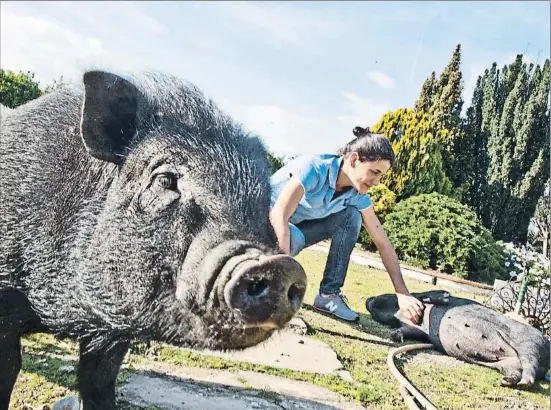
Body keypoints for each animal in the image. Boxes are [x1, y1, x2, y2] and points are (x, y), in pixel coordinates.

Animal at [0, 70, 308, 410]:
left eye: (265, 200)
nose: (278, 265)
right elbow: (10, 367)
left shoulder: (111, 336)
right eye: (165, 180)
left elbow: (99, 380)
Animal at [364, 290, 548, 390]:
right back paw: (506, 382)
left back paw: (522, 383)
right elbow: (409, 331)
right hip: (509, 364)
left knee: (529, 362)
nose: (368, 299)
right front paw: (395, 335)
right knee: (517, 370)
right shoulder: (419, 332)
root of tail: (545, 367)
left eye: (384, 296)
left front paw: (445, 297)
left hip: (530, 342)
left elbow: (424, 295)